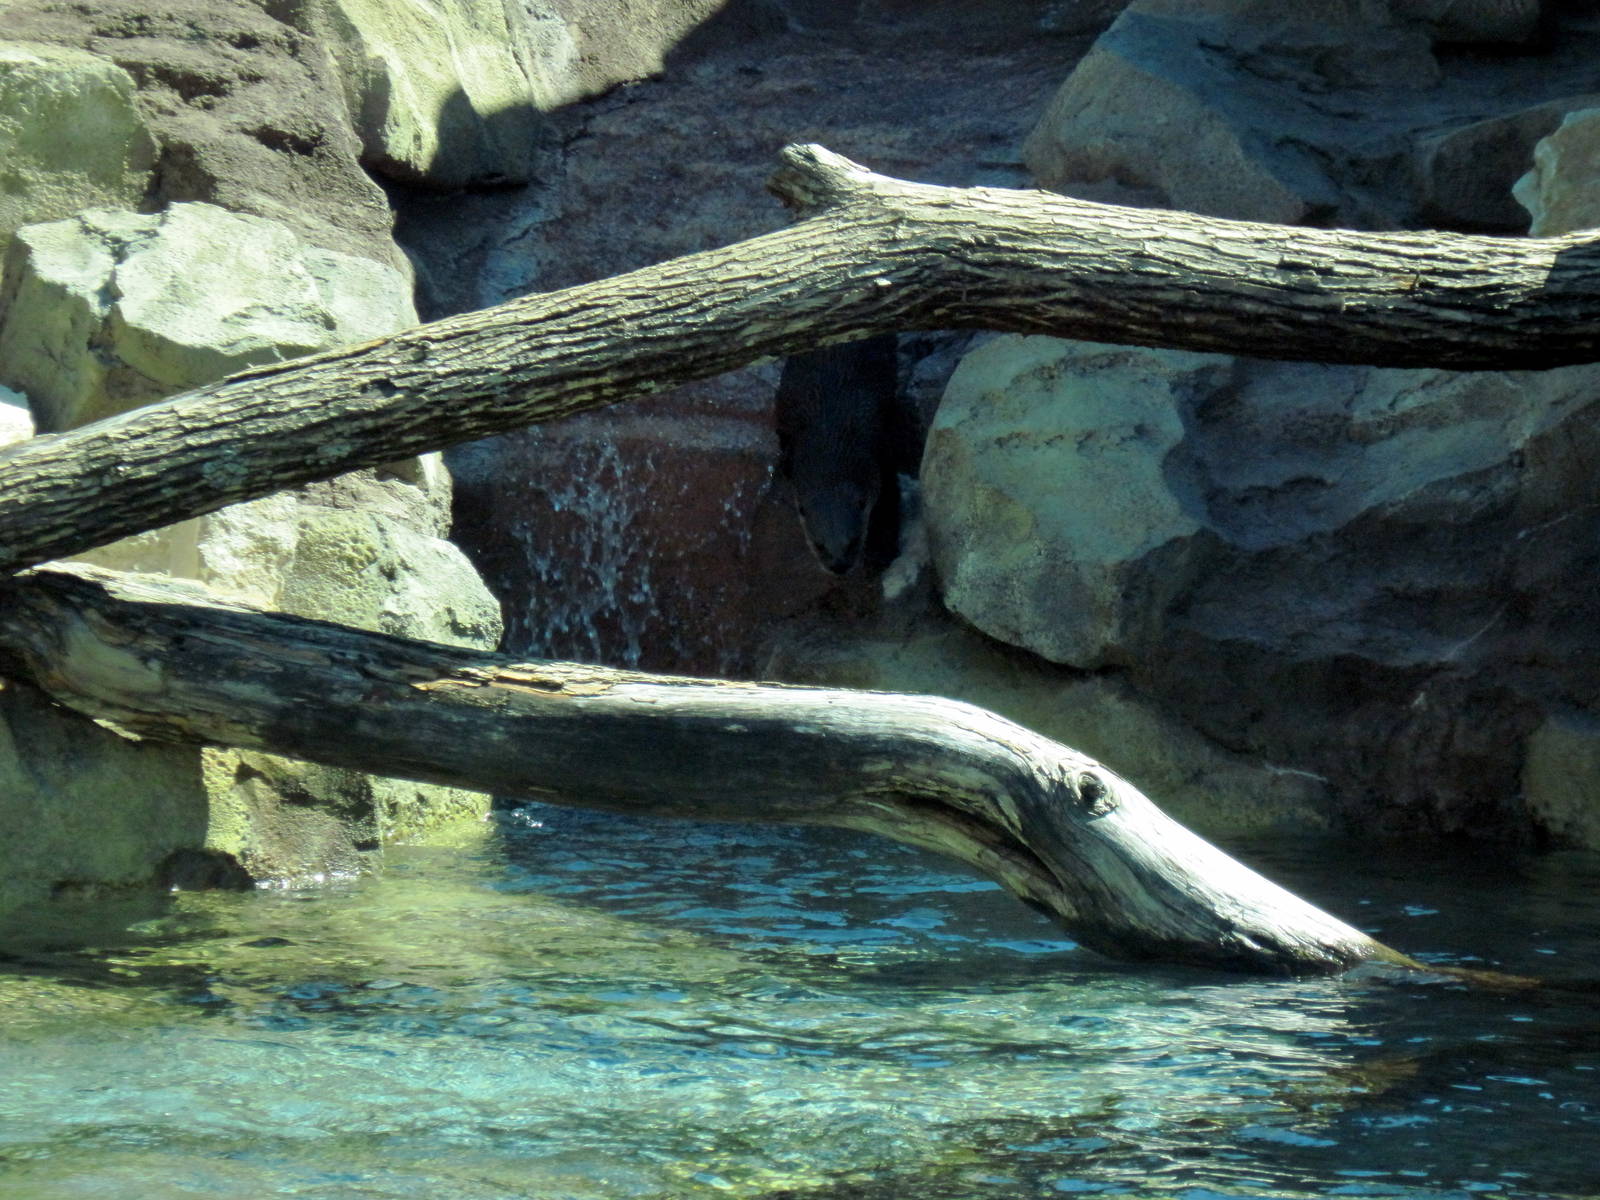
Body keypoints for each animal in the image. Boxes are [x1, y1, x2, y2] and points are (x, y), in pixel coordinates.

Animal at [774, 335, 901, 575]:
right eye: (819, 545)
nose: (839, 566)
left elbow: (889, 503)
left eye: (853, 541)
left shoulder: (882, 454)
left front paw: (881, 551)